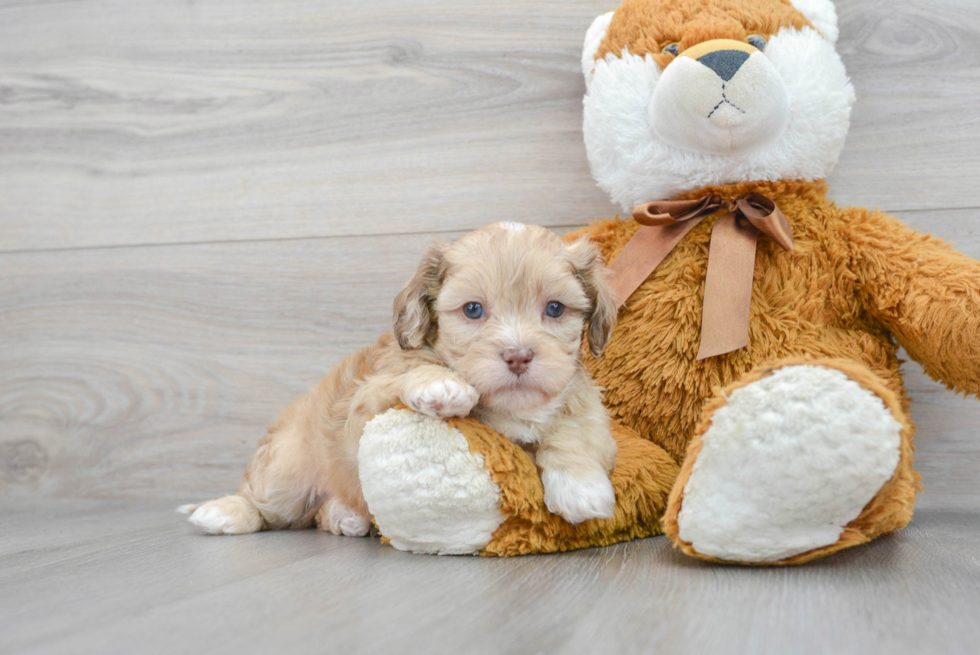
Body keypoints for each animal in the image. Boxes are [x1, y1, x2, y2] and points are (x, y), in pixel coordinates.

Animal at [180, 223, 616, 536]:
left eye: (555, 309)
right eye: (473, 310)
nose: (518, 355)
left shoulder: (588, 408)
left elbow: (574, 430)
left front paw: (581, 485)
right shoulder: (363, 403)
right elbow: (407, 373)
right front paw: (440, 384)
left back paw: (344, 515)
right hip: (286, 469)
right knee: (265, 503)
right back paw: (223, 511)